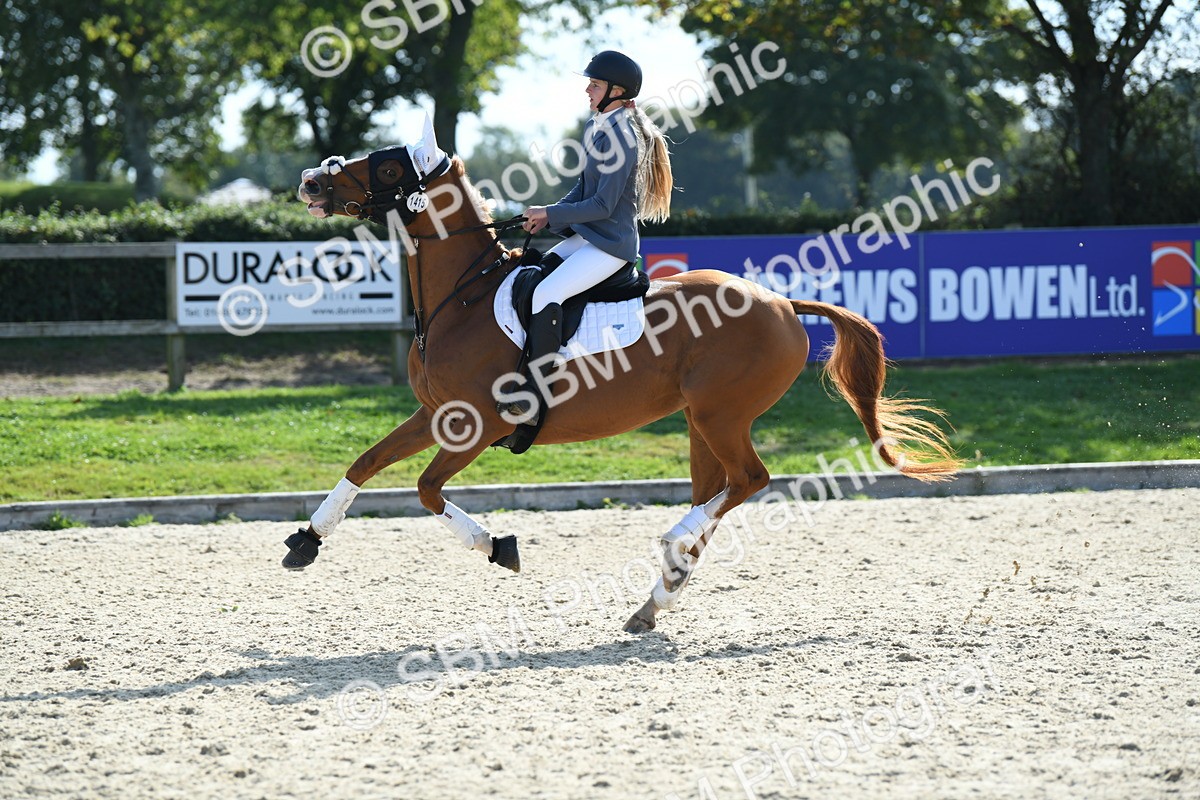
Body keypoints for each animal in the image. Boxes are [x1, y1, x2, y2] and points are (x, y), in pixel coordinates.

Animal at [287, 118, 961, 633]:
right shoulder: (436, 415)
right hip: (700, 423)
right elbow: (366, 463)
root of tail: (781, 302)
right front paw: (307, 541)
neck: (465, 297)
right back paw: (655, 600)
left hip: (720, 415)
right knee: (720, 493)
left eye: (389, 168)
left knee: (749, 480)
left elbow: (427, 489)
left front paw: (499, 548)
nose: (311, 181)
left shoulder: (479, 424)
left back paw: (670, 545)